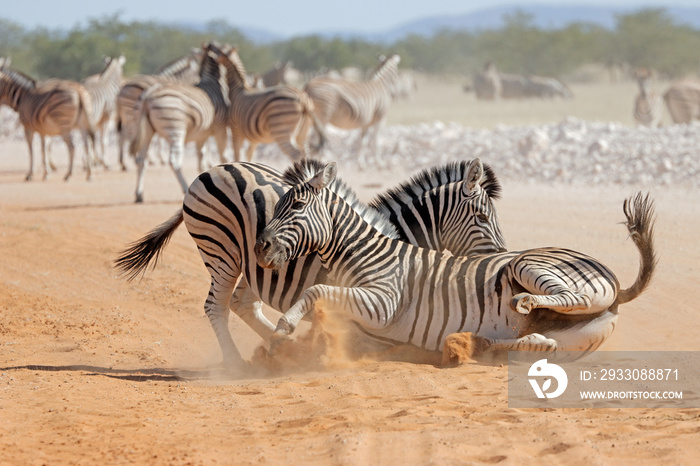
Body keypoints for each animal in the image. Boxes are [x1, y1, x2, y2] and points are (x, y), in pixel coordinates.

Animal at [115, 158, 508, 370]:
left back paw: (284, 348)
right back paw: (237, 362)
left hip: (253, 265)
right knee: (216, 306)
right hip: (221, 253)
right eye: (482, 216)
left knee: (244, 304)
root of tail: (215, 167)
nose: (501, 258)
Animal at [129, 43, 230, 202]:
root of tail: (148, 95)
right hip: (175, 129)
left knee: (141, 160)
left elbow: (202, 158)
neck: (211, 80)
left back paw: (139, 194)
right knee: (174, 161)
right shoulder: (220, 128)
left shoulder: (202, 135)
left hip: (147, 131)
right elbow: (223, 155)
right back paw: (184, 188)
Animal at [256, 162, 656, 362]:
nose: (260, 247)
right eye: (278, 206)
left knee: (573, 298)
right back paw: (469, 344)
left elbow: (315, 292)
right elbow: (321, 302)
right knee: (541, 343)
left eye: (296, 206)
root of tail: (617, 287)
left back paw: (523, 302)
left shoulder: (383, 304)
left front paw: (284, 328)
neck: (365, 251)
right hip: (575, 338)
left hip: (529, 265)